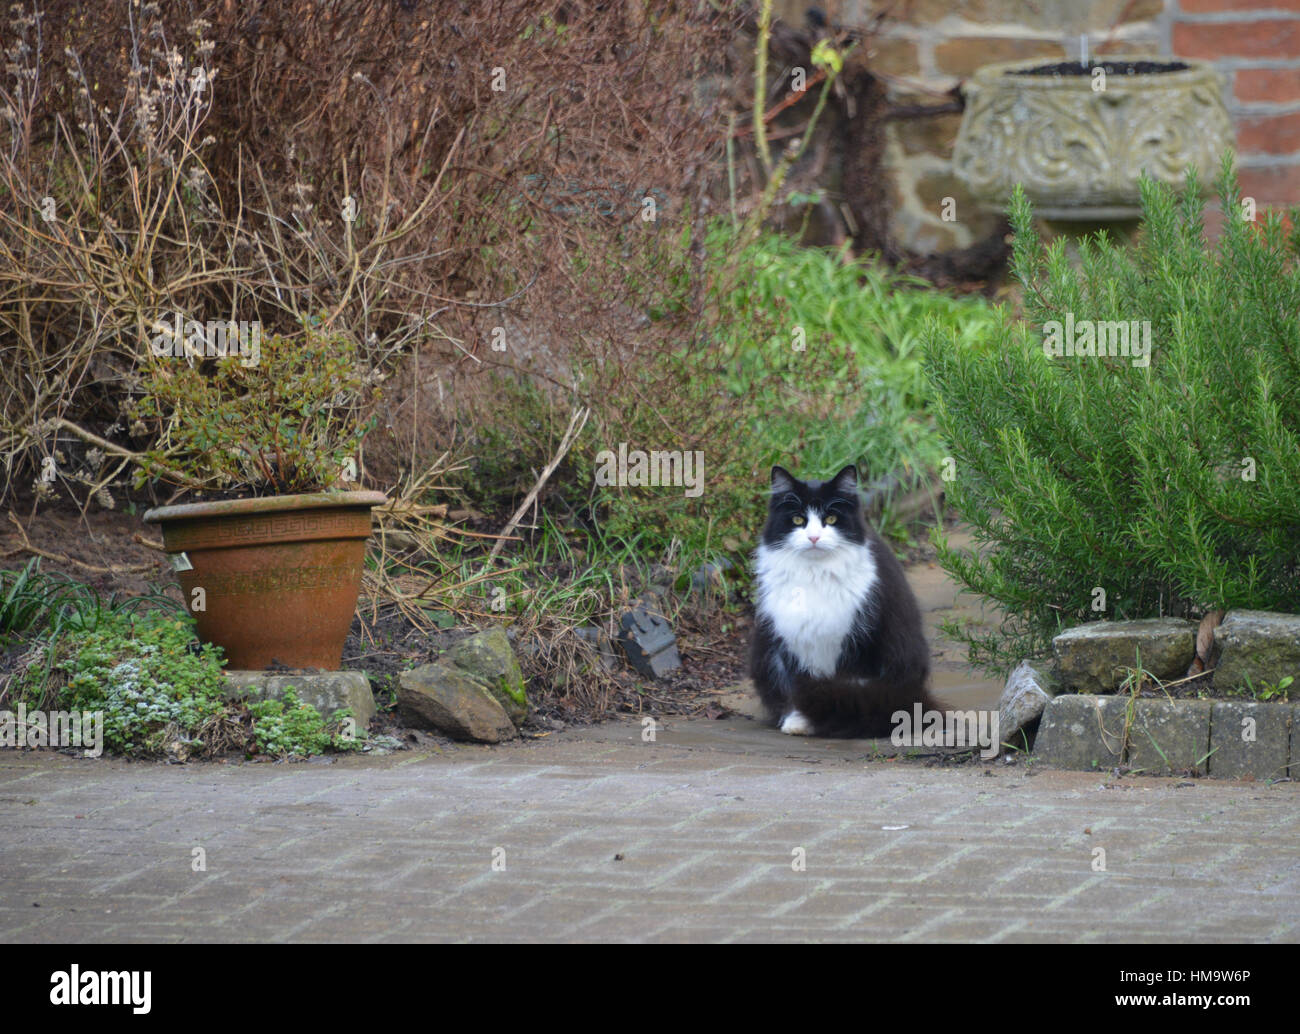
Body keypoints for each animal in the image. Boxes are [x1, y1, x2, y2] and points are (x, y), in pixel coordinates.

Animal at [748, 465, 941, 738]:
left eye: (831, 519)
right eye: (798, 520)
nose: (814, 538)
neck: (815, 575)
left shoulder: (858, 642)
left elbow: (847, 688)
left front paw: (834, 717)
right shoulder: (793, 640)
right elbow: (798, 690)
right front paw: (800, 721)